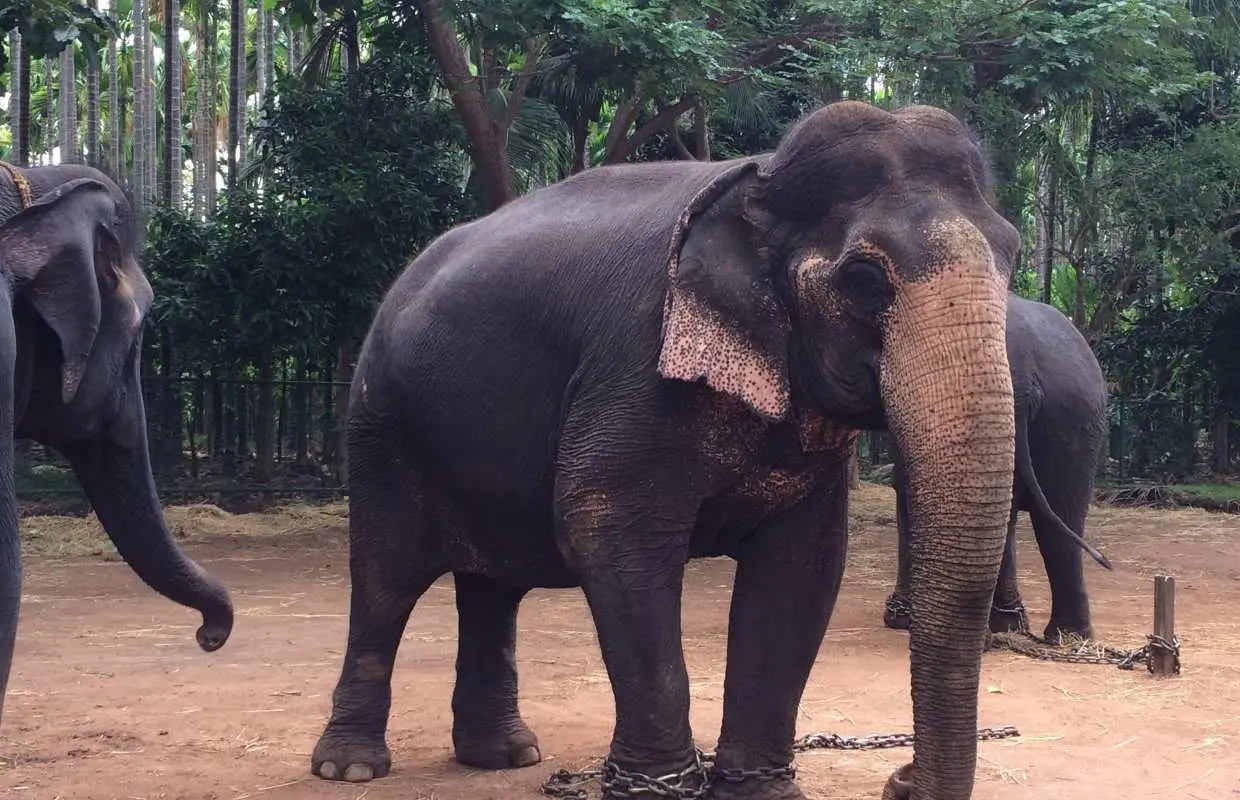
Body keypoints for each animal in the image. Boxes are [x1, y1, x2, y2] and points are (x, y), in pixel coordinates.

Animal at [310, 101, 1022, 800]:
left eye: (1012, 259)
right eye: (865, 278)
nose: (900, 778)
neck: (761, 176)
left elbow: (804, 564)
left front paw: (760, 793)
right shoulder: (634, 365)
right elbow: (606, 530)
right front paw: (657, 790)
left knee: (492, 588)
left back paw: (506, 756)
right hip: (380, 425)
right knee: (385, 579)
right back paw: (351, 768)